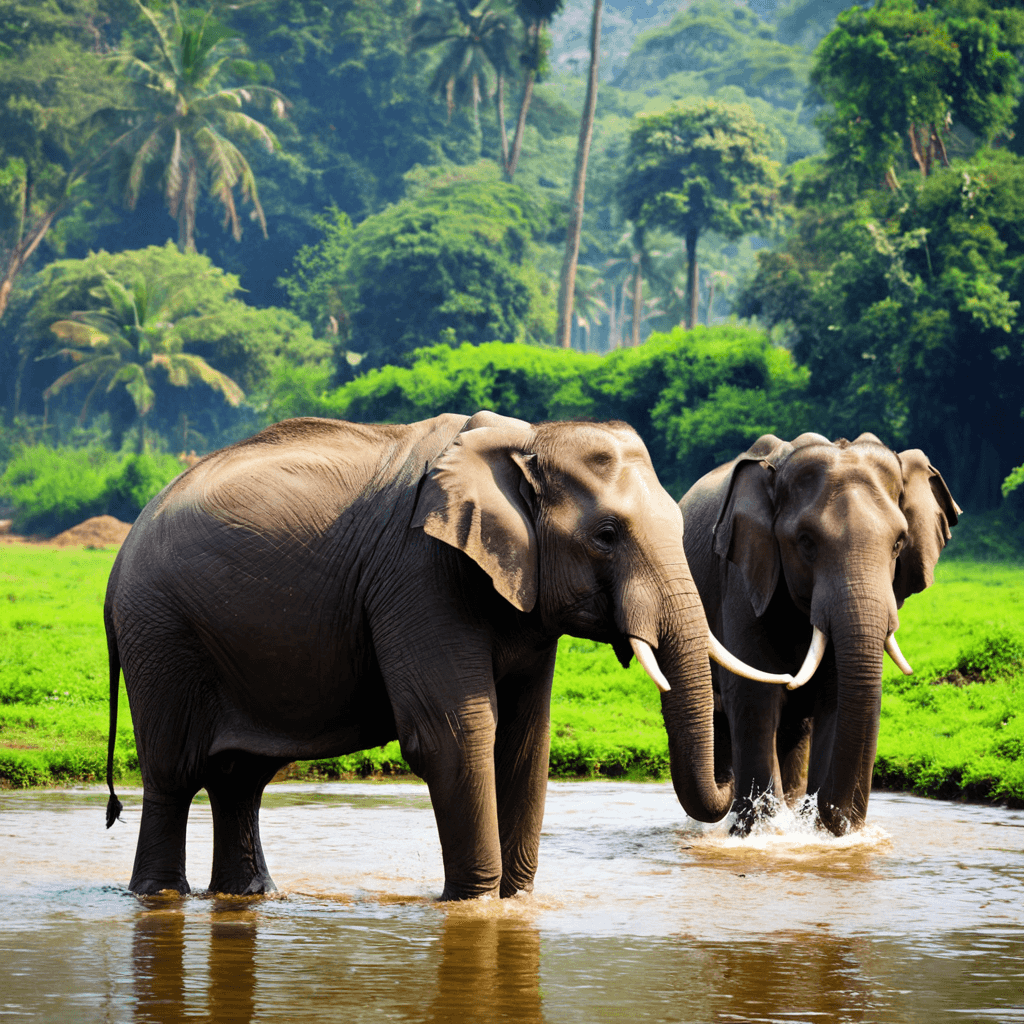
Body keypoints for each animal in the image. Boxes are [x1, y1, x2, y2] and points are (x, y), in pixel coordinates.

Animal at [104, 411, 781, 900]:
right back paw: (159, 896)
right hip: (159, 632)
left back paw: (248, 897)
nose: (730, 776)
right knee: (174, 774)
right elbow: (455, 733)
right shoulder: (419, 574)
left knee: (239, 779)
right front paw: (474, 905)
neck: (526, 441)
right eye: (607, 535)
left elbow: (525, 741)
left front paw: (514, 903)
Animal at [679, 432, 960, 835]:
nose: (838, 815)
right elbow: (755, 697)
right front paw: (762, 834)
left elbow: (836, 699)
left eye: (898, 543)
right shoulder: (744, 578)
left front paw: (818, 833)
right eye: (806, 541)